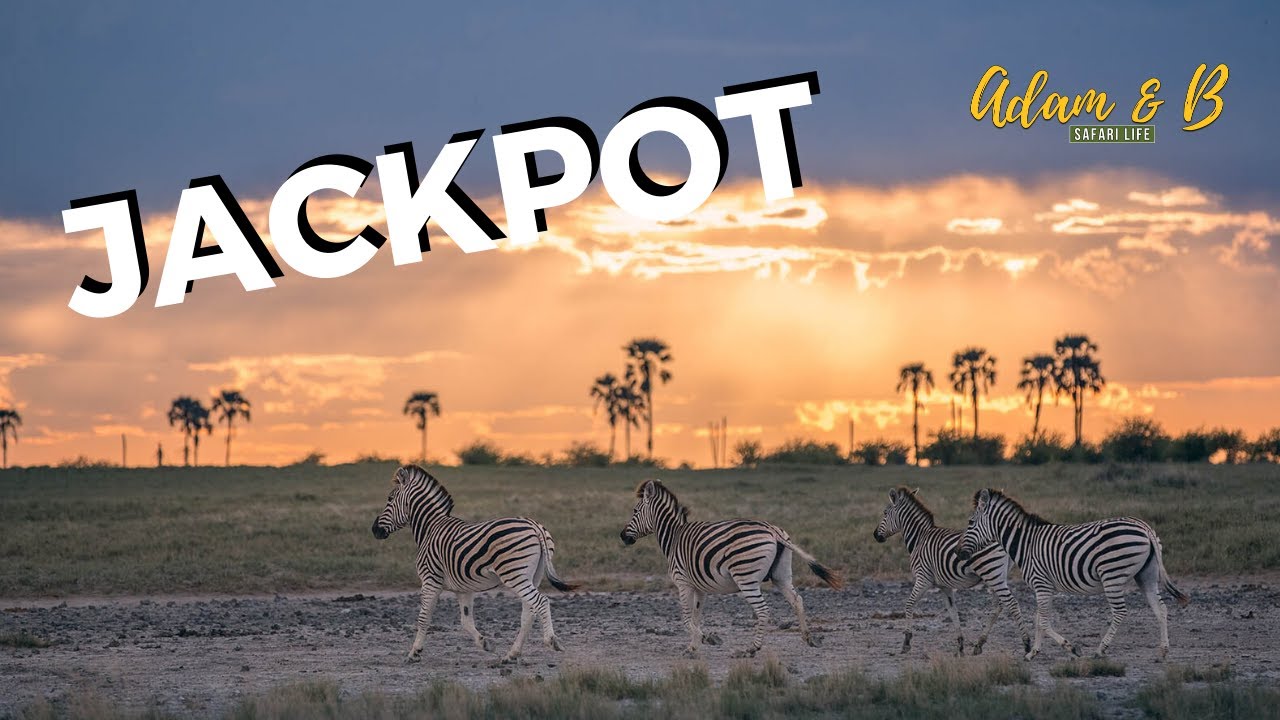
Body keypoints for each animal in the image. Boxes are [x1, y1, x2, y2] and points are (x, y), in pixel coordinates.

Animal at [371, 464, 578, 663]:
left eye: (390, 499)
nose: (374, 530)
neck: (431, 528)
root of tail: (533, 525)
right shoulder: (464, 588)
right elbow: (466, 620)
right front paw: (485, 643)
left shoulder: (430, 580)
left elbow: (424, 617)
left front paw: (414, 653)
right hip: (533, 575)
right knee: (529, 611)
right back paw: (512, 655)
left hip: (514, 574)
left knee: (540, 602)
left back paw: (551, 641)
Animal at [620, 479, 843, 657]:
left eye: (635, 511)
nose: (622, 536)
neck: (674, 536)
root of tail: (772, 530)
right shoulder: (699, 587)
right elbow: (696, 616)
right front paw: (695, 644)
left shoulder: (682, 583)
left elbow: (685, 617)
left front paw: (699, 641)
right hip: (781, 575)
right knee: (797, 600)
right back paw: (808, 638)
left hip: (746, 577)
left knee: (763, 610)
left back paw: (751, 649)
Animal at [873, 486, 1029, 655]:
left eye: (885, 513)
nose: (875, 535)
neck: (919, 539)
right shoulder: (945, 586)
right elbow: (952, 611)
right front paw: (960, 645)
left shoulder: (923, 578)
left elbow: (909, 604)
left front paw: (907, 641)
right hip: (997, 576)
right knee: (998, 605)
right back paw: (979, 644)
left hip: (992, 573)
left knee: (1011, 603)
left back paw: (1026, 644)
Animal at [957, 488, 1190, 661]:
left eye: (970, 522)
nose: (959, 553)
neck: (1026, 543)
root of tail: (1144, 527)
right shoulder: (1044, 587)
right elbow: (1039, 619)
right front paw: (1034, 652)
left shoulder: (1041, 584)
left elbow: (1043, 622)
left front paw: (1071, 648)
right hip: (1146, 575)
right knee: (1160, 609)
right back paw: (1163, 651)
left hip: (1112, 575)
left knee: (1121, 612)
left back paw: (1100, 650)